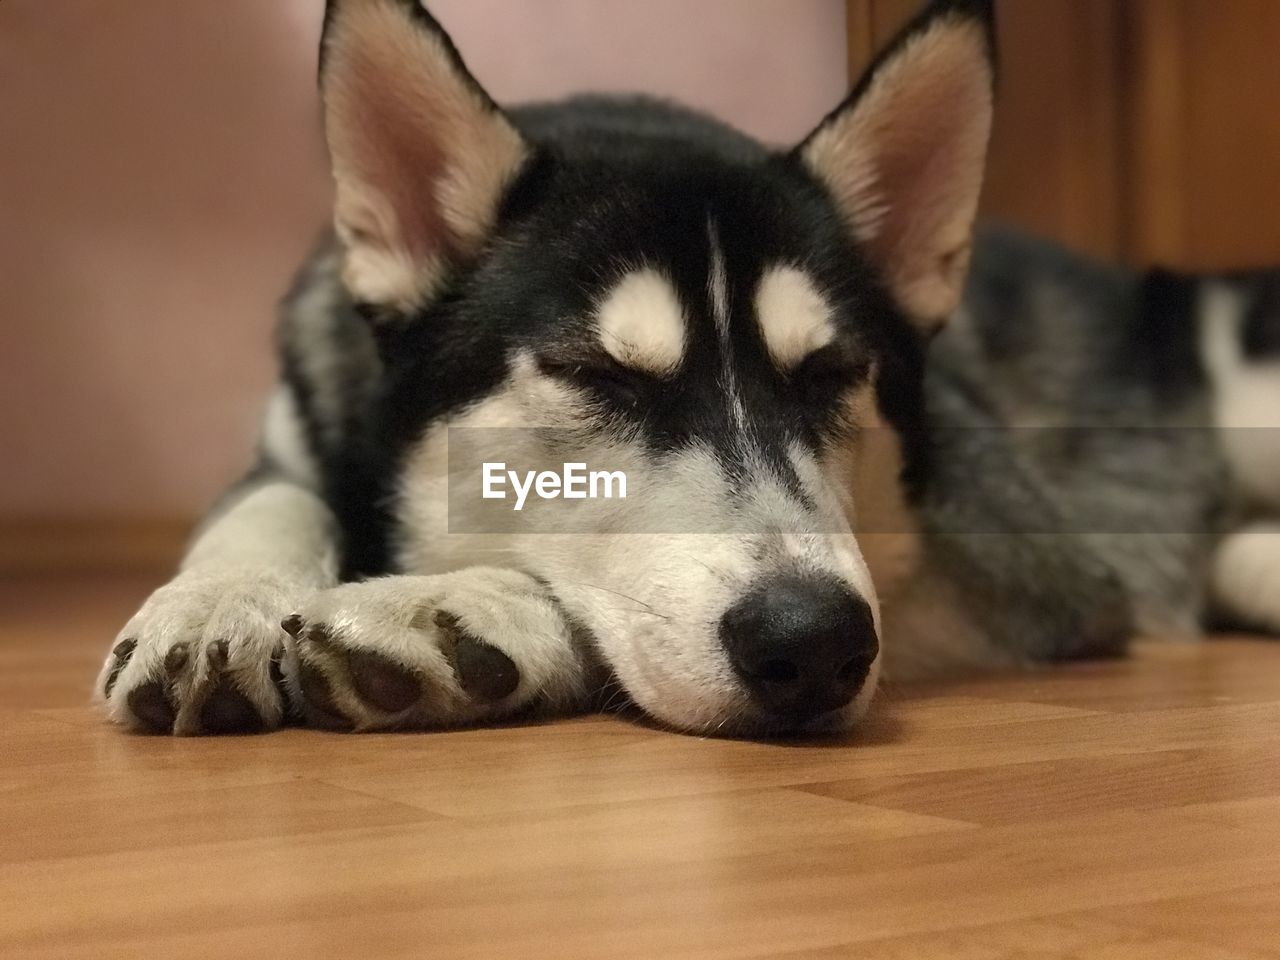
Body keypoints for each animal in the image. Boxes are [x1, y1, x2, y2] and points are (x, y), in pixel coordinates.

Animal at [94, 0, 1274, 742]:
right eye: (594, 374)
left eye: (831, 372)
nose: (814, 643)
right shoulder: (297, 433)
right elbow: (268, 507)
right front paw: (214, 605)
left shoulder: (1045, 573)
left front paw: (466, 612)